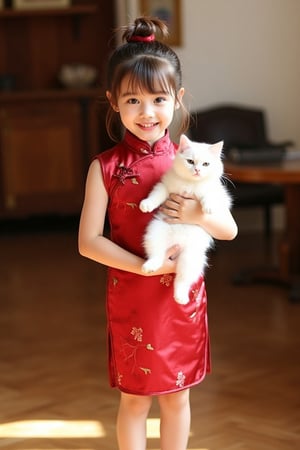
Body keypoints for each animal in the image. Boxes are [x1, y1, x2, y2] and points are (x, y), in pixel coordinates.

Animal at [139, 132, 231, 304]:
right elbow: (156, 195)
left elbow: (210, 195)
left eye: (206, 164)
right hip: (156, 233)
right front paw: (146, 204)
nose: (197, 170)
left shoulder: (220, 195)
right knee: (157, 256)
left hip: (191, 257)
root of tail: (177, 245)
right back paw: (150, 266)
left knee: (182, 280)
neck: (191, 184)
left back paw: (180, 297)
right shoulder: (164, 186)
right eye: (190, 161)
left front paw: (208, 208)